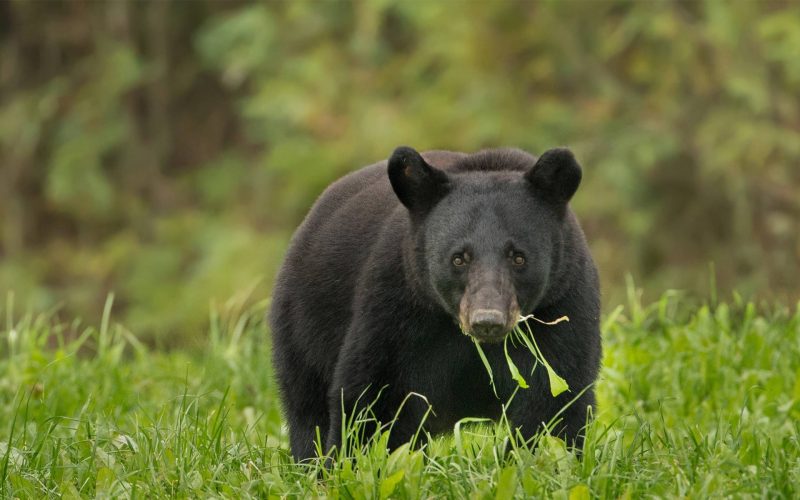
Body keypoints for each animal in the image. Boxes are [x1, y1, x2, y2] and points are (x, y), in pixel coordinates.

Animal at [268, 146, 600, 462]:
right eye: (459, 258)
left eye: (518, 257)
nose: (487, 321)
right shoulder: (396, 308)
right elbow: (372, 397)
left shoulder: (562, 306)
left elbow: (554, 400)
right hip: (303, 325)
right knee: (307, 409)